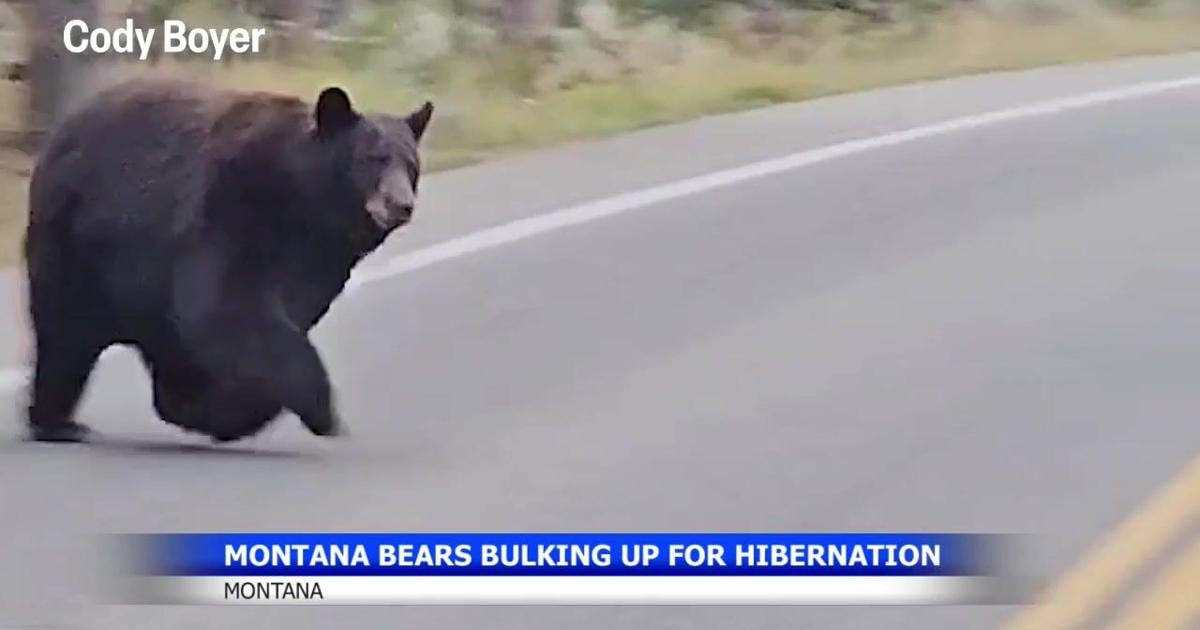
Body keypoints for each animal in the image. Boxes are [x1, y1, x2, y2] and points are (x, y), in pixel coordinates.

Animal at [22, 77, 433, 443]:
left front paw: (234, 410)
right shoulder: (230, 210)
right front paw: (322, 411)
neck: (305, 204)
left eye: (411, 165)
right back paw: (59, 423)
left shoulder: (320, 264)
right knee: (65, 334)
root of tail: (61, 132)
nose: (401, 204)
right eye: (373, 159)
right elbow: (227, 308)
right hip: (78, 243)